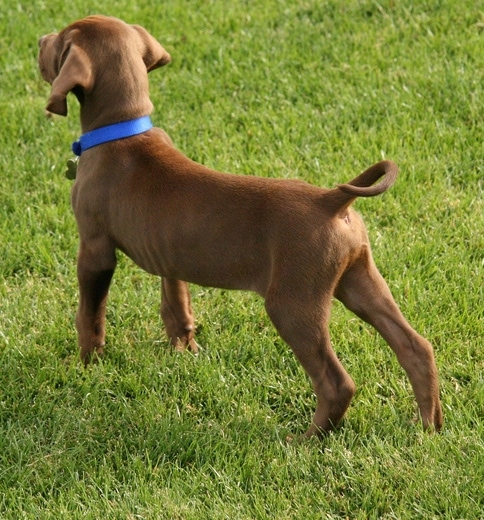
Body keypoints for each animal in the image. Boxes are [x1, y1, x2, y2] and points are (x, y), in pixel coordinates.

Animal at [37, 16, 442, 436]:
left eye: (60, 41)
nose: (39, 39)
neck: (123, 130)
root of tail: (331, 200)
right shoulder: (169, 255)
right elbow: (176, 305)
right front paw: (183, 351)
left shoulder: (95, 249)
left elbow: (90, 315)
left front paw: (86, 365)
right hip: (359, 281)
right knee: (416, 347)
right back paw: (427, 426)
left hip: (293, 302)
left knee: (337, 382)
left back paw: (307, 438)